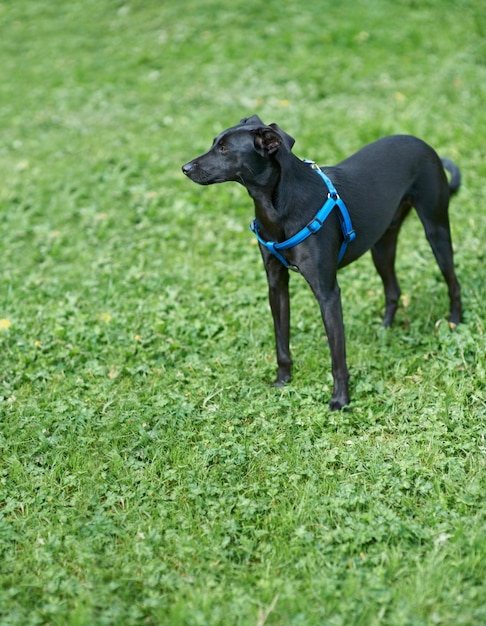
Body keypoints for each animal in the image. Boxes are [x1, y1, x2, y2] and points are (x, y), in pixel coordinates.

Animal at [181, 116, 460, 410]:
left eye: (224, 149)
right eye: (214, 143)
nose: (185, 168)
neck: (277, 206)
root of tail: (422, 143)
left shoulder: (327, 293)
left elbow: (337, 355)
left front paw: (340, 399)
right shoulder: (276, 285)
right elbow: (281, 342)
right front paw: (283, 381)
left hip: (436, 230)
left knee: (453, 282)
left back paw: (455, 321)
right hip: (381, 245)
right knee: (393, 290)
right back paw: (384, 330)